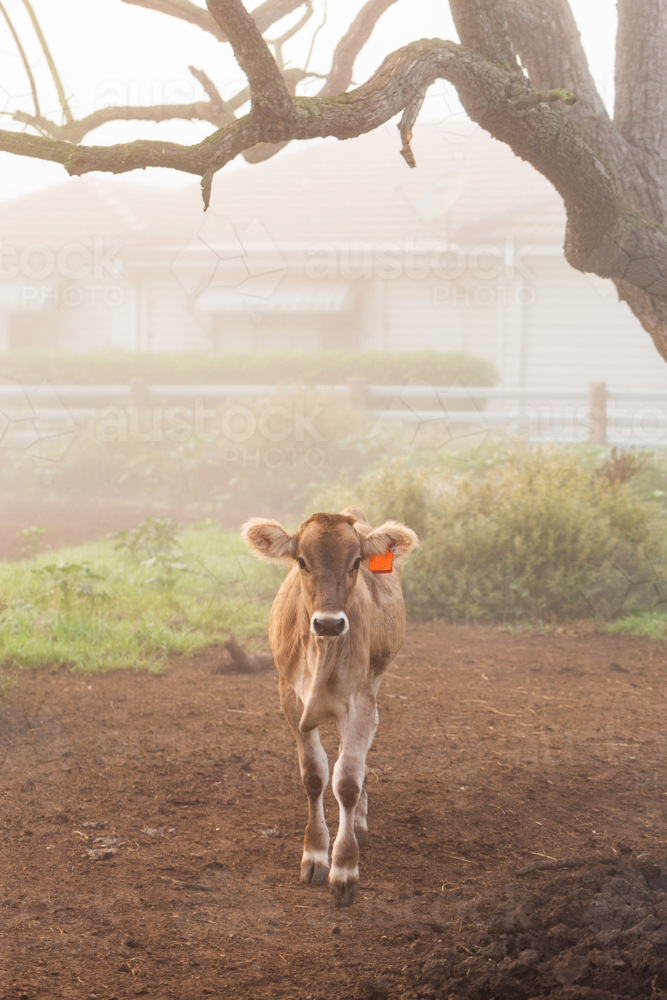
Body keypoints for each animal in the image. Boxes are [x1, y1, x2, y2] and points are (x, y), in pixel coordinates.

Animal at [241, 506, 418, 906]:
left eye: (356, 562)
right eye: (301, 562)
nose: (329, 623)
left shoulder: (361, 699)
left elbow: (347, 781)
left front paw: (344, 868)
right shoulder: (290, 697)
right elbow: (314, 775)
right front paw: (315, 855)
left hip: (375, 683)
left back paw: (360, 821)